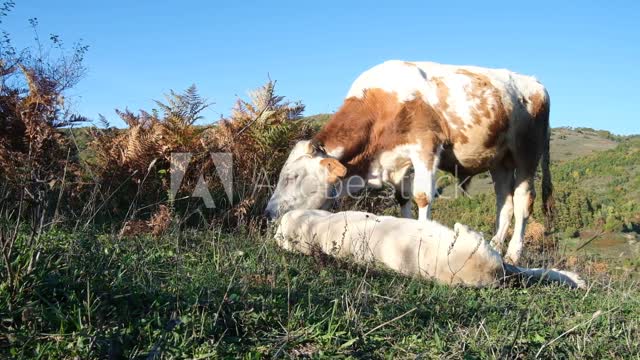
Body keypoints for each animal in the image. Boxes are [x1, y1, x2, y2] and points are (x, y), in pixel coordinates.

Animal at [262, 60, 552, 262]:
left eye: (292, 177)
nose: (268, 212)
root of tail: (536, 83)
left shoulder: (425, 146)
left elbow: (422, 197)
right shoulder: (397, 162)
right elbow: (403, 199)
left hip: (527, 154)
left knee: (523, 202)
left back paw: (513, 253)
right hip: (500, 162)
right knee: (504, 202)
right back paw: (494, 246)